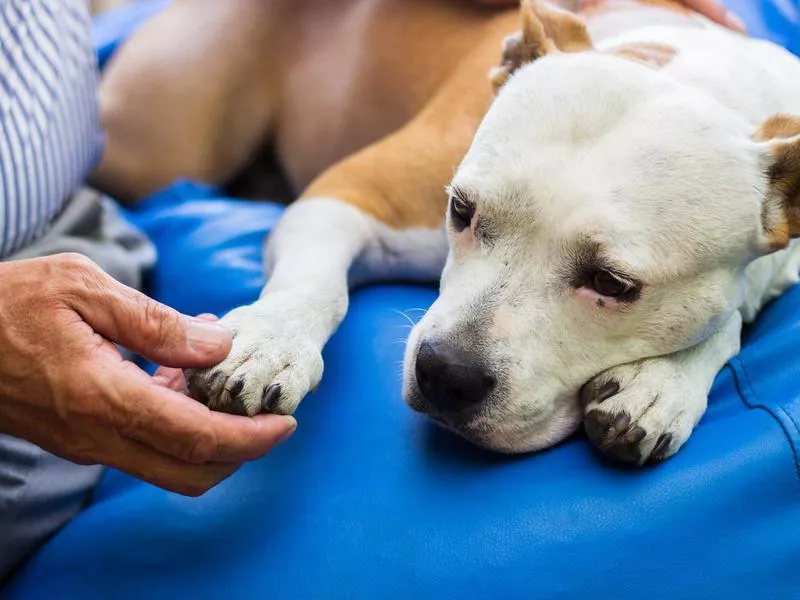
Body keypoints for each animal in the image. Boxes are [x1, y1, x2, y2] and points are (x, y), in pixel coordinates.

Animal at [92, 0, 800, 464]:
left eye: (612, 283)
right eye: (461, 209)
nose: (444, 374)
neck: (688, 70)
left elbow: (733, 316)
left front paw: (663, 385)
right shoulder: (350, 192)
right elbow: (316, 285)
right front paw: (267, 341)